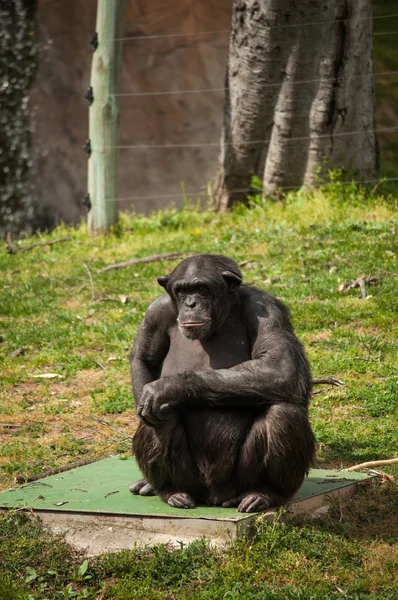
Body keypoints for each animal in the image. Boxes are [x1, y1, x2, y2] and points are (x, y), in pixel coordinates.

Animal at [129, 253, 316, 510]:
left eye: (201, 289)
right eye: (182, 291)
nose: (191, 304)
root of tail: (214, 496)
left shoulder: (267, 310)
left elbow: (281, 366)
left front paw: (166, 388)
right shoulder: (155, 313)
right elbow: (144, 359)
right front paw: (152, 394)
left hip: (240, 479)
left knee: (283, 413)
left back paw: (266, 493)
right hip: (191, 480)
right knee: (157, 417)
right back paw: (170, 491)